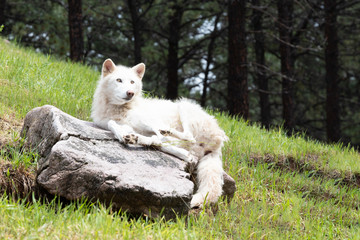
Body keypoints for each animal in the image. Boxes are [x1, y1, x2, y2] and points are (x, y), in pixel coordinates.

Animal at [91, 58, 229, 208]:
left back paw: (166, 134)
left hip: (183, 104)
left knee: (184, 137)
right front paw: (123, 136)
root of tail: (219, 142)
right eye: (119, 80)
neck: (119, 109)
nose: (130, 93)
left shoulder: (148, 120)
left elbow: (157, 133)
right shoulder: (112, 123)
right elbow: (112, 125)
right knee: (164, 143)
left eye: (132, 82)